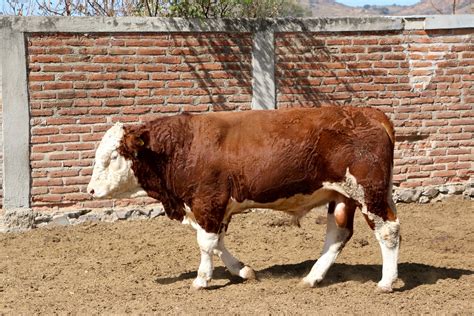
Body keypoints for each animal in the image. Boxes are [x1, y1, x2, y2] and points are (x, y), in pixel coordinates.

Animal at [86, 105, 400, 292]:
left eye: (113, 156)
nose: (90, 190)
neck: (180, 148)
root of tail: (370, 113)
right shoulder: (216, 208)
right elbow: (217, 243)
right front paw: (243, 270)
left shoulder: (208, 202)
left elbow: (206, 244)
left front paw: (201, 279)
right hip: (342, 195)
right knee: (338, 234)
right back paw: (312, 277)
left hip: (368, 193)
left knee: (388, 230)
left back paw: (386, 281)